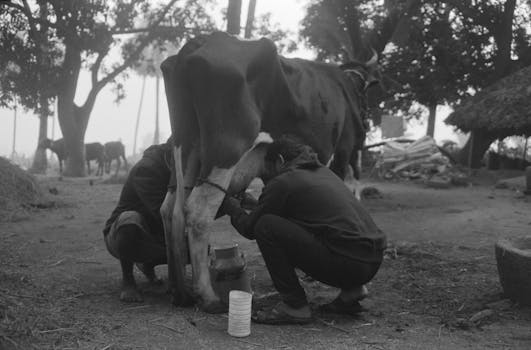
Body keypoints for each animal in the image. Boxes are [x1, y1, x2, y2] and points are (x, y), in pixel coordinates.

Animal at [160, 32, 380, 312]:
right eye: (368, 87)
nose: (364, 123)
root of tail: (198, 43)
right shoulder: (343, 150)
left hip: (186, 146)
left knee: (170, 210)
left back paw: (178, 291)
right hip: (227, 149)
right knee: (198, 212)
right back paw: (208, 297)